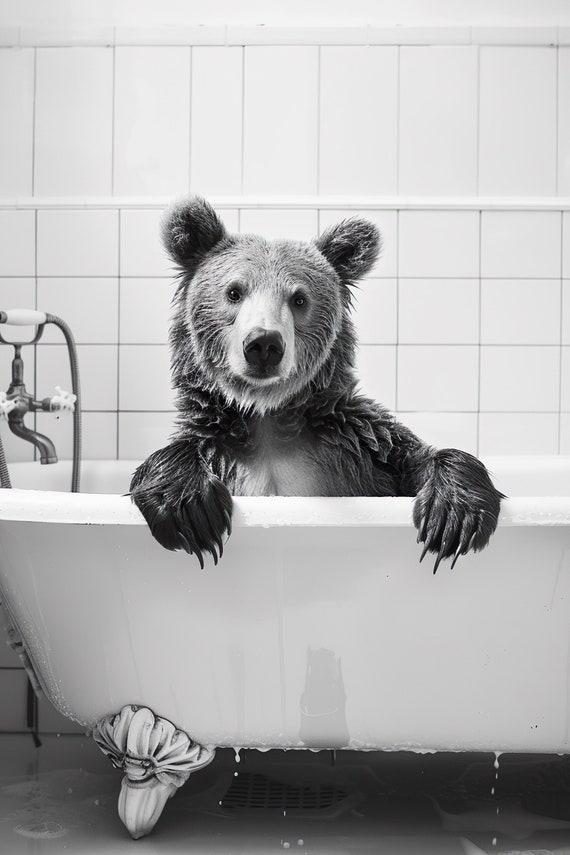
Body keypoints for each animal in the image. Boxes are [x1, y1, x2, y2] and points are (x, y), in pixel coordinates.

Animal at [130, 196, 504, 572]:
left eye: (299, 298)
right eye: (234, 292)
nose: (264, 344)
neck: (266, 416)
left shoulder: (358, 447)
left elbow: (415, 457)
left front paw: (454, 514)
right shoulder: (218, 447)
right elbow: (177, 456)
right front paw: (191, 510)